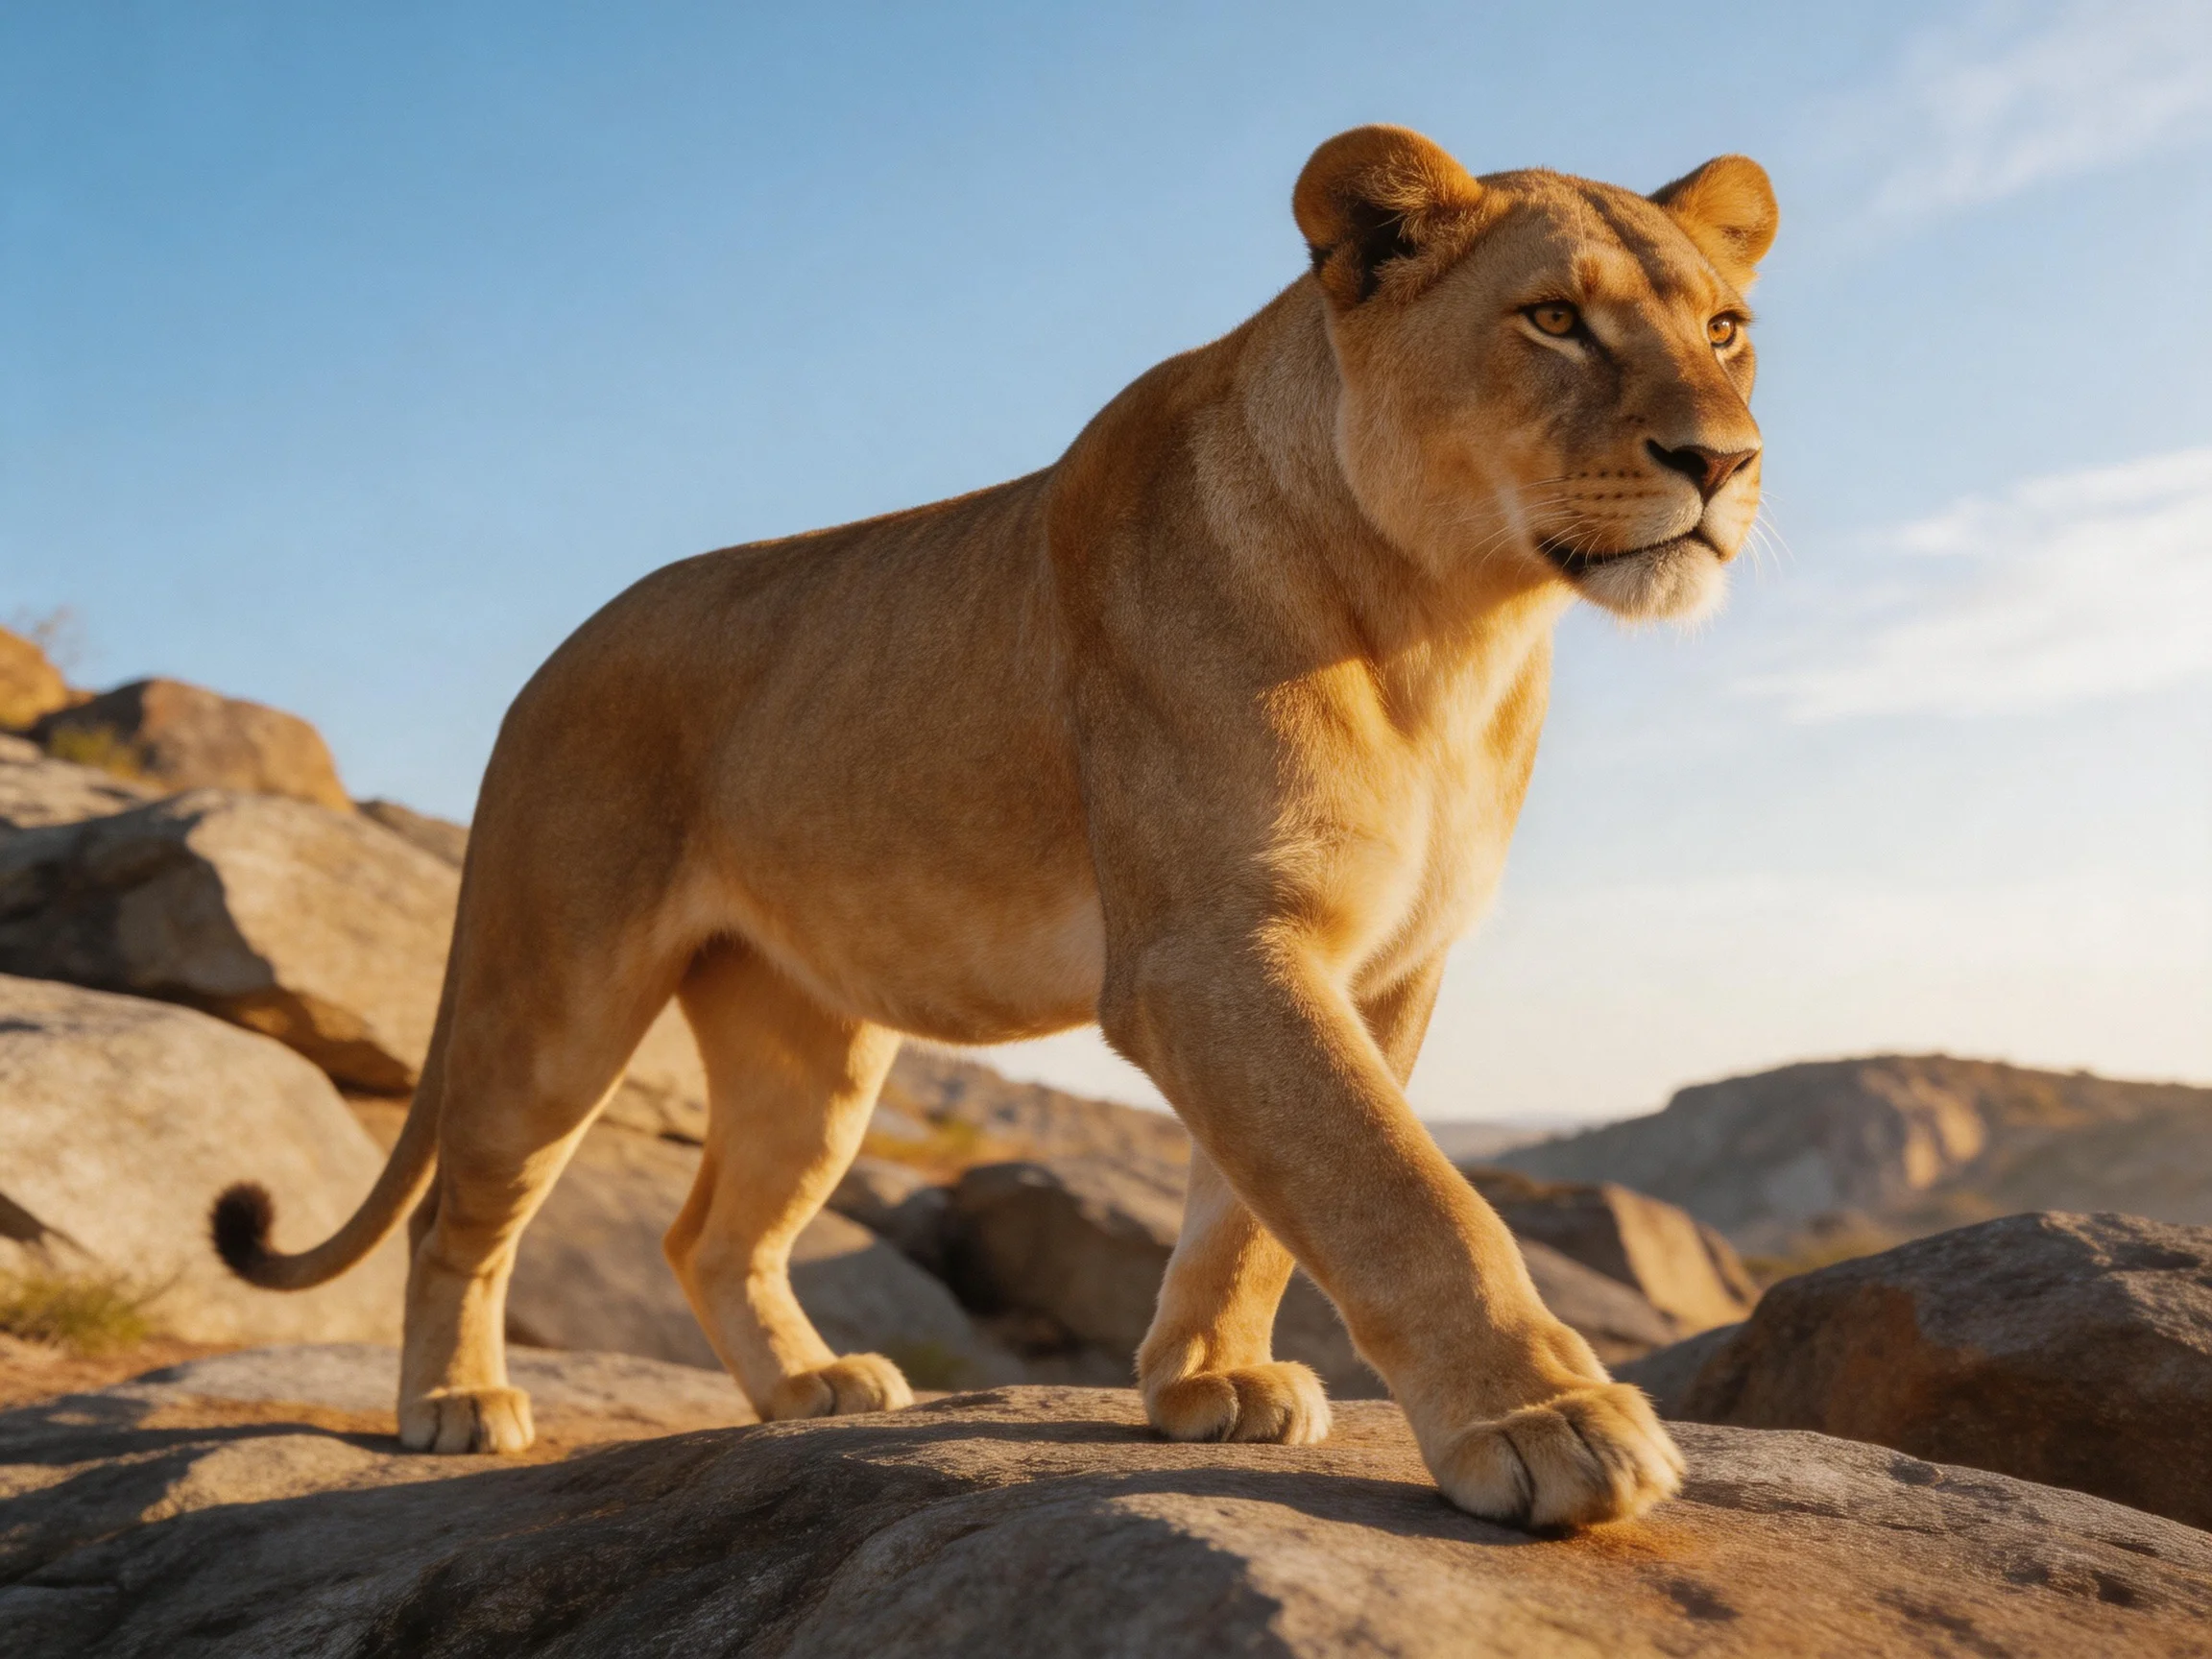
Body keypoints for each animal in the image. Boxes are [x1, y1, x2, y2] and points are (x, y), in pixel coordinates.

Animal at [214, 124, 1774, 1530]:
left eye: (1725, 329)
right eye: (1554, 319)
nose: (1726, 462)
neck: (1449, 627)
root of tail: (545, 668)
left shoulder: (1381, 965)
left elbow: (1260, 1210)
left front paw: (1209, 1383)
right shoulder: (1209, 949)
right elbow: (1397, 1190)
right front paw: (1548, 1422)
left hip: (809, 1042)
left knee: (711, 1230)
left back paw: (807, 1391)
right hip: (557, 993)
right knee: (460, 1216)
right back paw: (453, 1405)